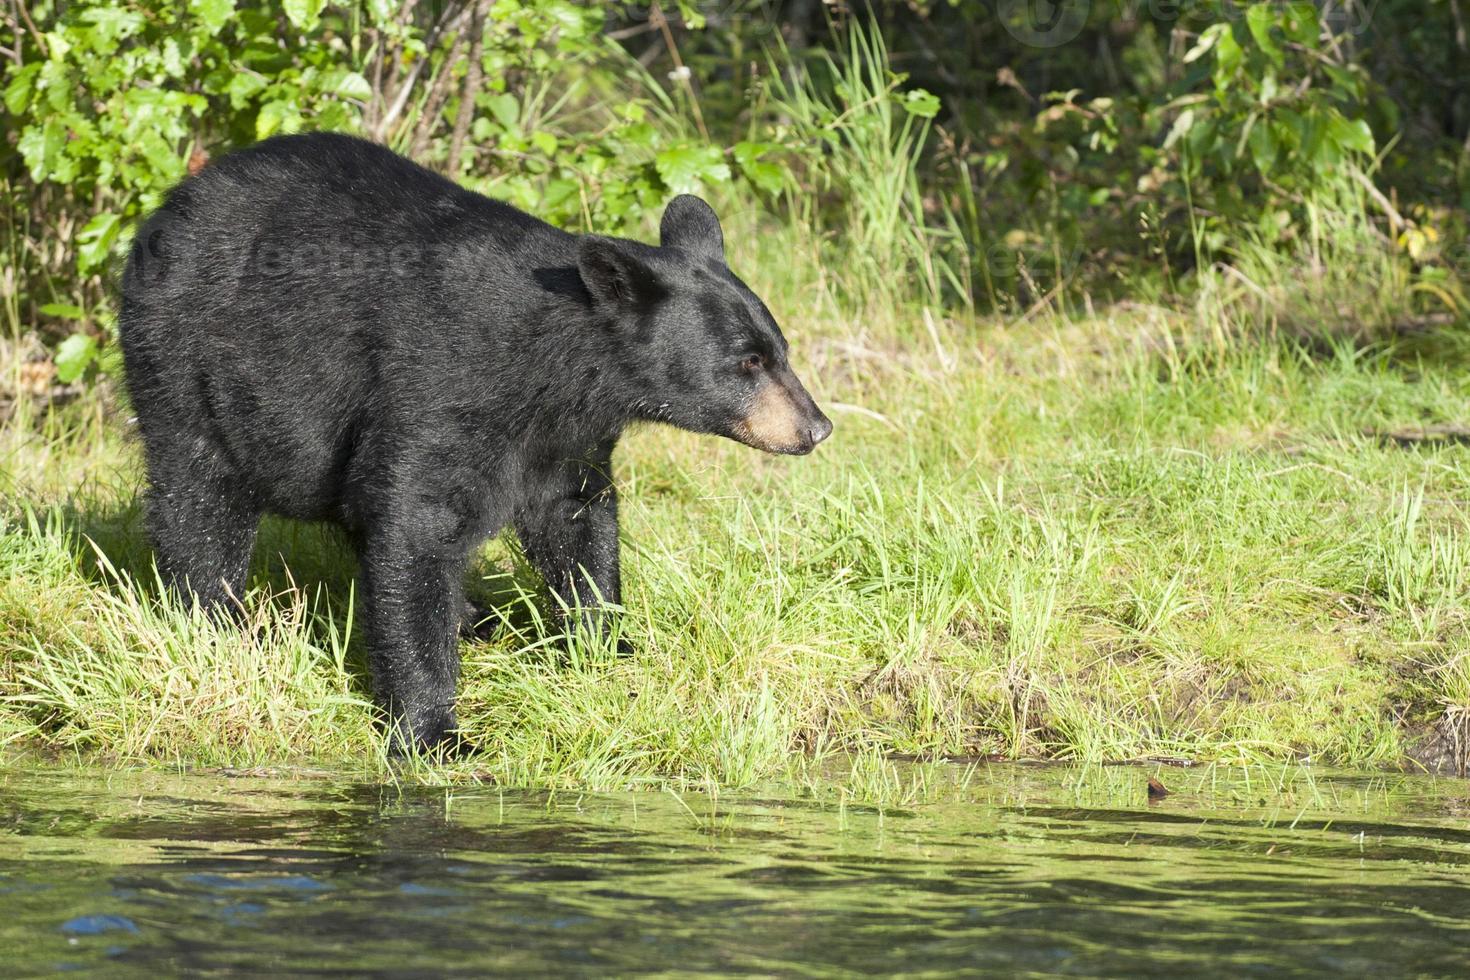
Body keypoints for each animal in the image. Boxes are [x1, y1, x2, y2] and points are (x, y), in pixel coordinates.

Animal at [117, 134, 829, 758]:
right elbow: (417, 527)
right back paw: (216, 625)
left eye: (780, 350)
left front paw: (606, 646)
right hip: (186, 362)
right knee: (200, 501)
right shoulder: (442, 385)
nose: (815, 427)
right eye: (746, 363)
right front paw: (435, 733)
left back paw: (480, 617)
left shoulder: (565, 436)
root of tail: (173, 203)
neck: (554, 370)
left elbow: (578, 520)